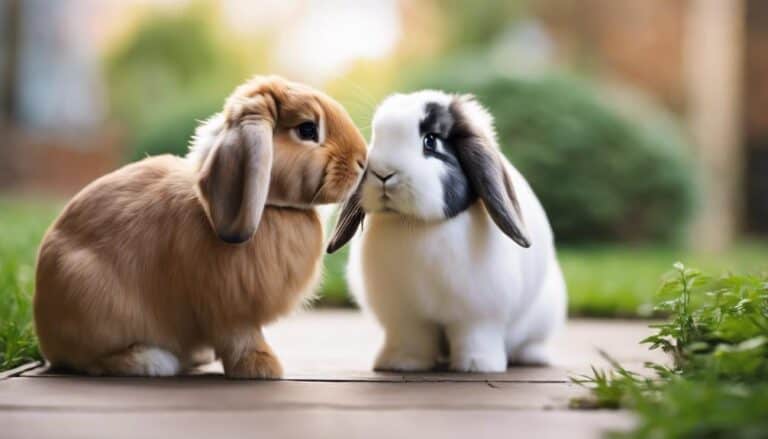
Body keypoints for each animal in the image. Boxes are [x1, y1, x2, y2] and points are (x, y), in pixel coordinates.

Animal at [34, 75, 368, 378]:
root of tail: (45, 331)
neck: (271, 210)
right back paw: (153, 361)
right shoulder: (228, 309)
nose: (362, 160)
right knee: (90, 361)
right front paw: (262, 367)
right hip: (90, 296)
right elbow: (242, 338)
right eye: (307, 129)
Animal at [327, 90, 567, 373]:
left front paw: (476, 365)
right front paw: (401, 363)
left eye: (430, 141)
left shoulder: (478, 315)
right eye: (376, 140)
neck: (416, 224)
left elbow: (475, 337)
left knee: (530, 342)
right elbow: (411, 340)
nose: (384, 173)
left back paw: (534, 357)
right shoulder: (405, 317)